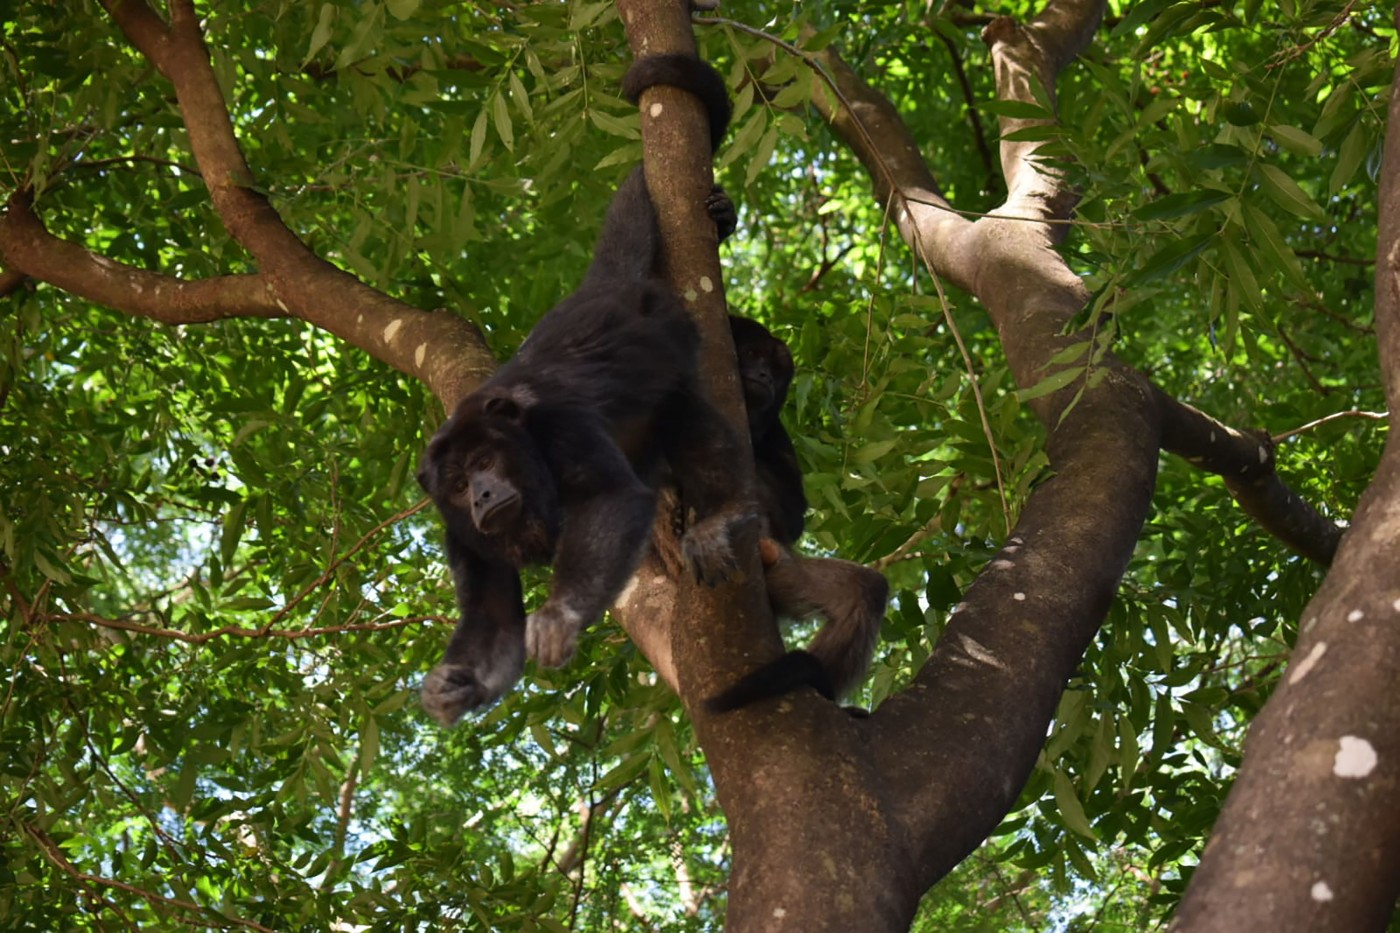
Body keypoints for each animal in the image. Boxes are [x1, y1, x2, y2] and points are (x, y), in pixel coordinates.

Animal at [417, 52, 756, 728]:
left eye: (486, 461)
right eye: (460, 484)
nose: (483, 493)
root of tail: (600, 288)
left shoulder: (559, 422)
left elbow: (611, 499)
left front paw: (560, 614)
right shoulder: (457, 532)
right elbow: (494, 619)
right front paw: (451, 685)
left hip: (667, 326)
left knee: (683, 415)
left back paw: (724, 513)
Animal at [705, 316, 890, 708]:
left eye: (775, 371)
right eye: (752, 354)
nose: (764, 376)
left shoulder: (776, 433)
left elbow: (793, 517)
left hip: (782, 577)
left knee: (865, 590)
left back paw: (819, 684)